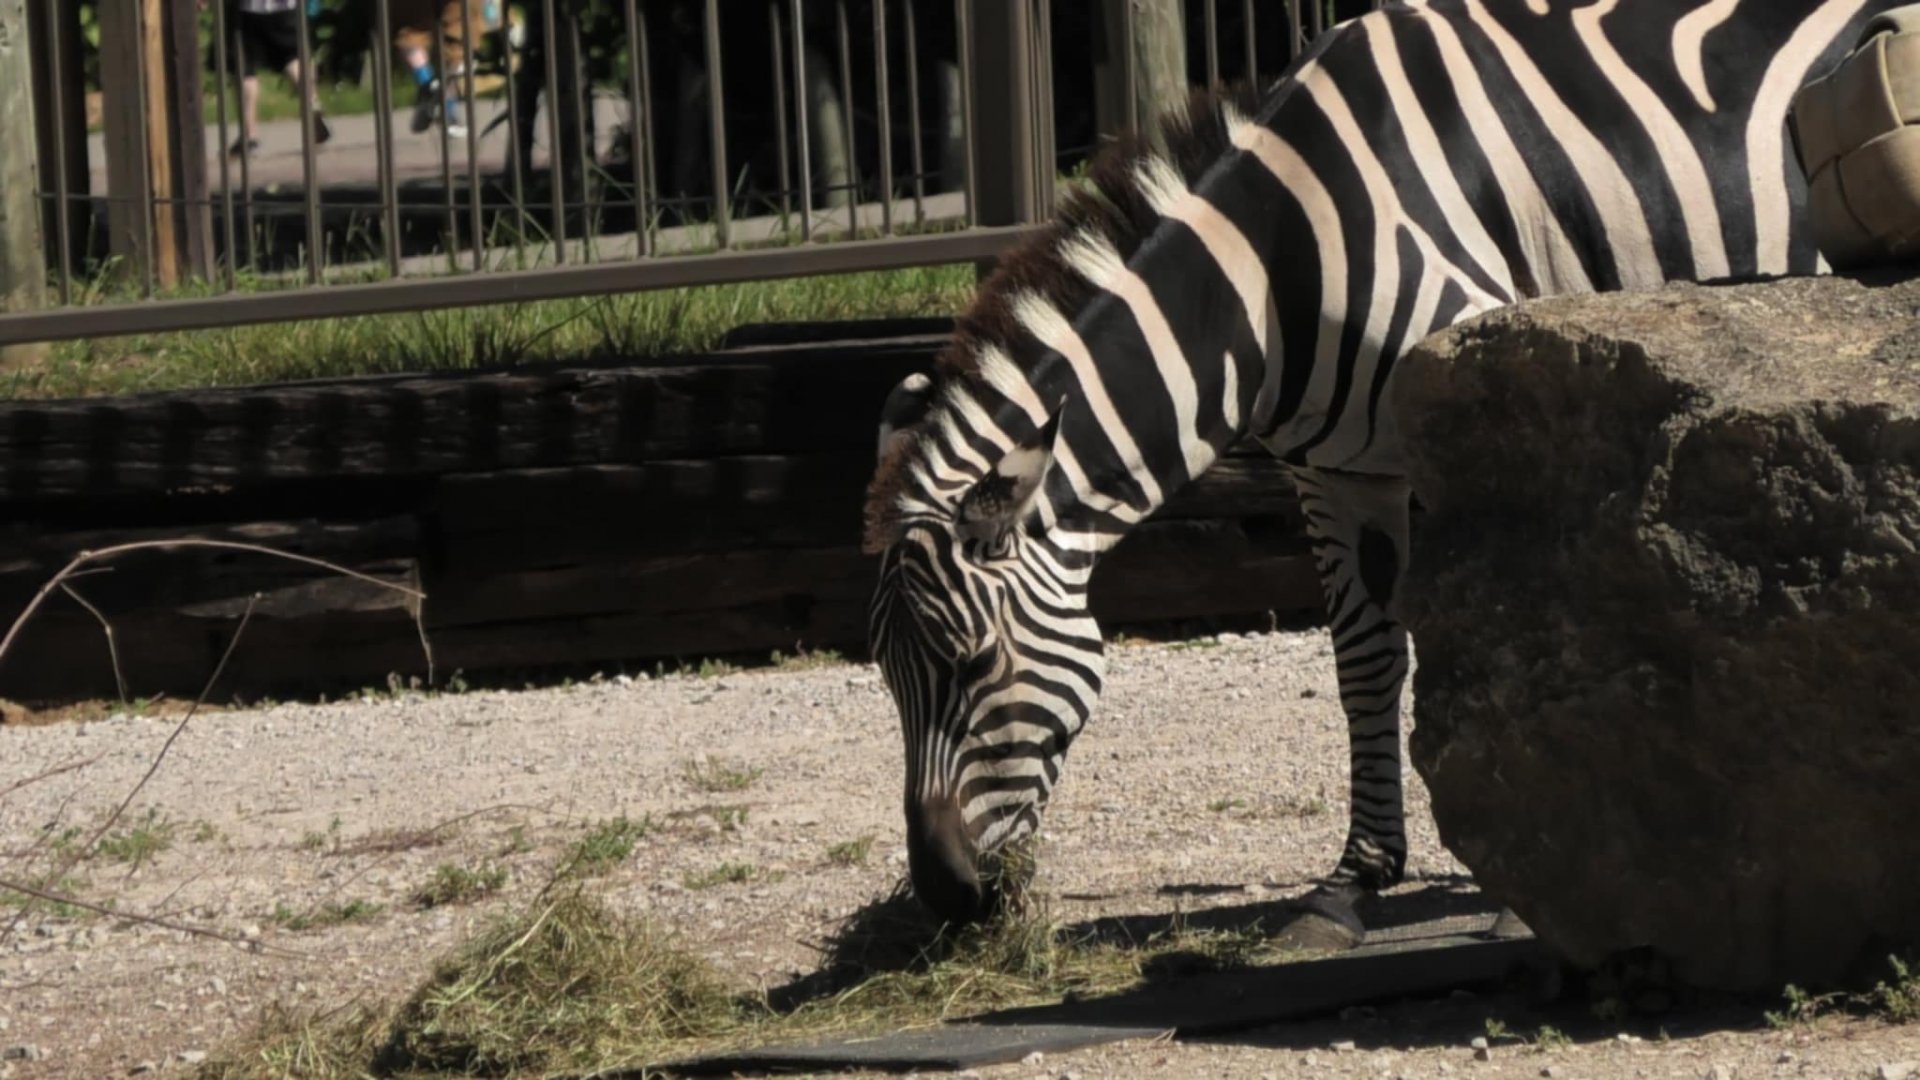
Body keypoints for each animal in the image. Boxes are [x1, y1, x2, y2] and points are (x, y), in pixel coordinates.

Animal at [863, 0, 1904, 927]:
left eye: (973, 661)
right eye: (886, 678)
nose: (943, 897)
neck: (1272, 273)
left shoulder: (1471, 412)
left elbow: (1501, 631)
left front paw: (1518, 900)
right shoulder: (1333, 474)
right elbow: (1364, 661)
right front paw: (1354, 882)